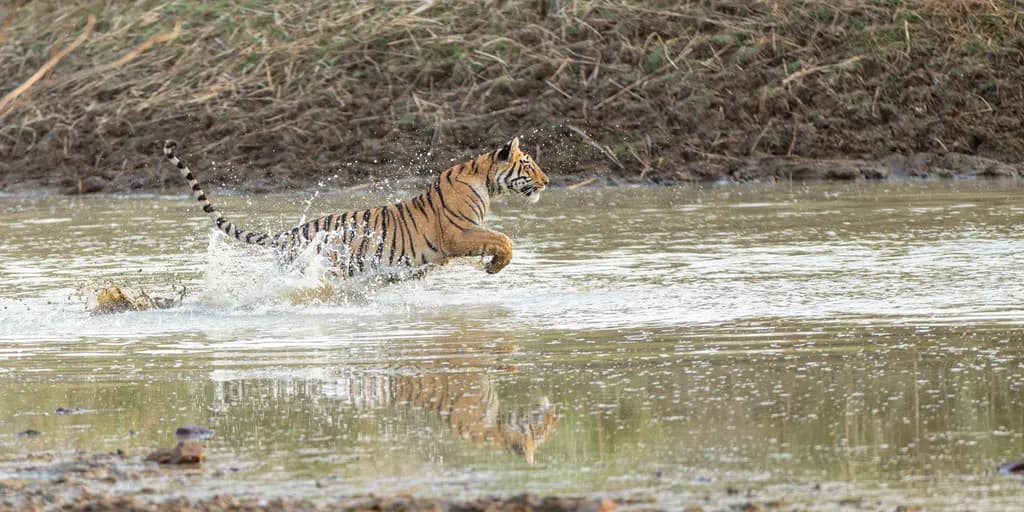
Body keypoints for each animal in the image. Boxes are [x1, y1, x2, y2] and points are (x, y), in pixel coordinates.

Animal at [163, 137, 549, 276]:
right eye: (528, 164)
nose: (546, 181)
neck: (485, 181)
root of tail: (289, 233)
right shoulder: (459, 233)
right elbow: (503, 239)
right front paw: (495, 266)